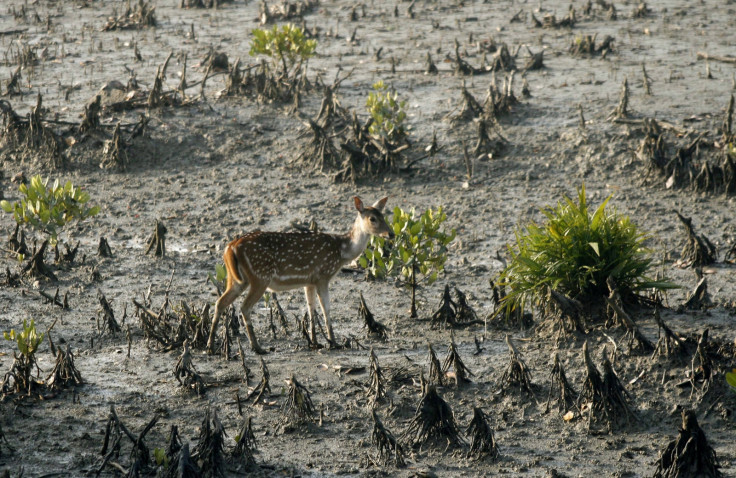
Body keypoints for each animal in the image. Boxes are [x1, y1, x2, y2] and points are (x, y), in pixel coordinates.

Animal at [207, 195, 394, 354]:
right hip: (260, 276)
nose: (391, 233)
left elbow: (311, 309)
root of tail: (231, 247)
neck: (342, 251)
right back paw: (257, 347)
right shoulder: (323, 275)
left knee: (220, 302)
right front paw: (333, 342)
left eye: (384, 216)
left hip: (237, 279)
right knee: (244, 307)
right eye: (372, 218)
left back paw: (210, 345)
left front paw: (315, 342)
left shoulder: (309, 281)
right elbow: (326, 309)